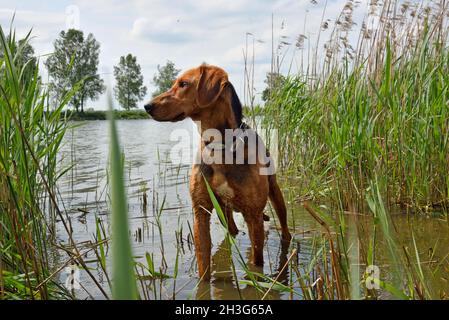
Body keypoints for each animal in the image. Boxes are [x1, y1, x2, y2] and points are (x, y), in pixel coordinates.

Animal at [144, 63, 290, 280]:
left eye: (183, 84)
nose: (147, 106)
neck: (219, 147)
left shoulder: (254, 215)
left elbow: (256, 263)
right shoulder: (201, 212)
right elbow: (203, 263)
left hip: (275, 195)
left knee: (284, 228)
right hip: (224, 212)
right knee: (232, 230)